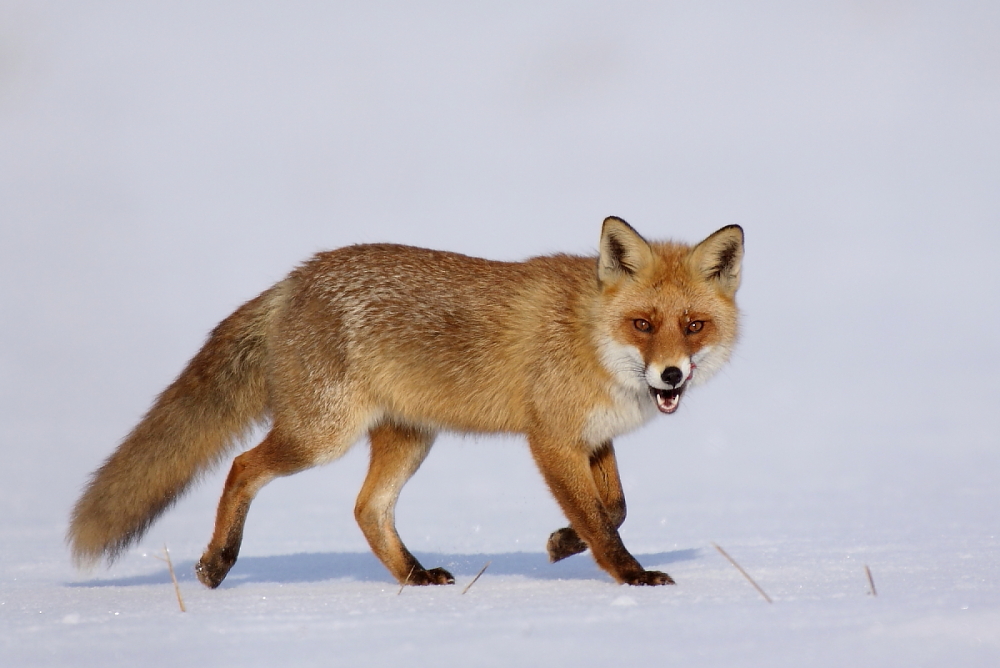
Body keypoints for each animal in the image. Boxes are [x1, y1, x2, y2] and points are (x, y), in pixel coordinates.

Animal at [68, 217, 744, 588]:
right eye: (642, 324)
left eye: (693, 326)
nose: (670, 376)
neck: (587, 335)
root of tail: (294, 279)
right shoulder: (552, 439)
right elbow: (603, 522)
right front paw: (631, 577)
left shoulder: (592, 438)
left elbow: (615, 509)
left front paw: (560, 543)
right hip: (322, 436)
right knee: (241, 467)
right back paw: (217, 562)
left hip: (408, 439)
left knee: (368, 510)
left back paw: (414, 576)